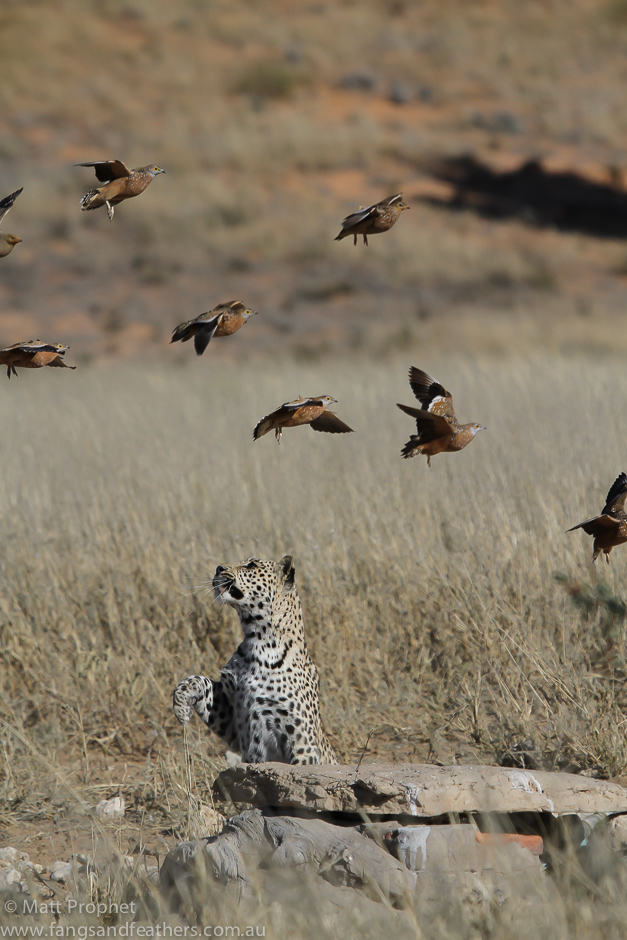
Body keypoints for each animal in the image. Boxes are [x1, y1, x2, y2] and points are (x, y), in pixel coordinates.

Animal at [173, 555, 338, 765]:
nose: (219, 568)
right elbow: (197, 680)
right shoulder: (231, 713)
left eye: (251, 565)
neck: (257, 640)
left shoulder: (302, 744)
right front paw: (181, 707)